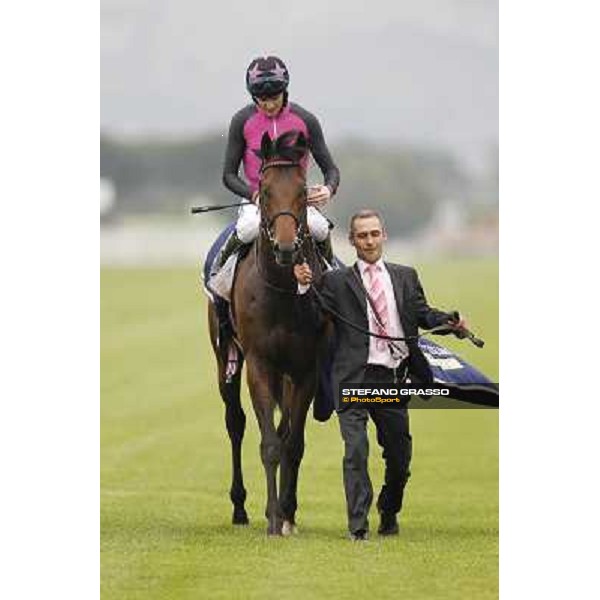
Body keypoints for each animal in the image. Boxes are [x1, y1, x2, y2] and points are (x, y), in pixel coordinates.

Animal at [209, 130, 326, 536]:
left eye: (304, 190)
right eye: (265, 188)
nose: (287, 248)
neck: (284, 293)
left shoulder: (306, 369)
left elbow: (293, 443)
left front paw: (287, 513)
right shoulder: (259, 362)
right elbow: (271, 444)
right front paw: (274, 519)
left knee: (284, 426)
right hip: (225, 358)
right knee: (235, 423)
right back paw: (240, 508)